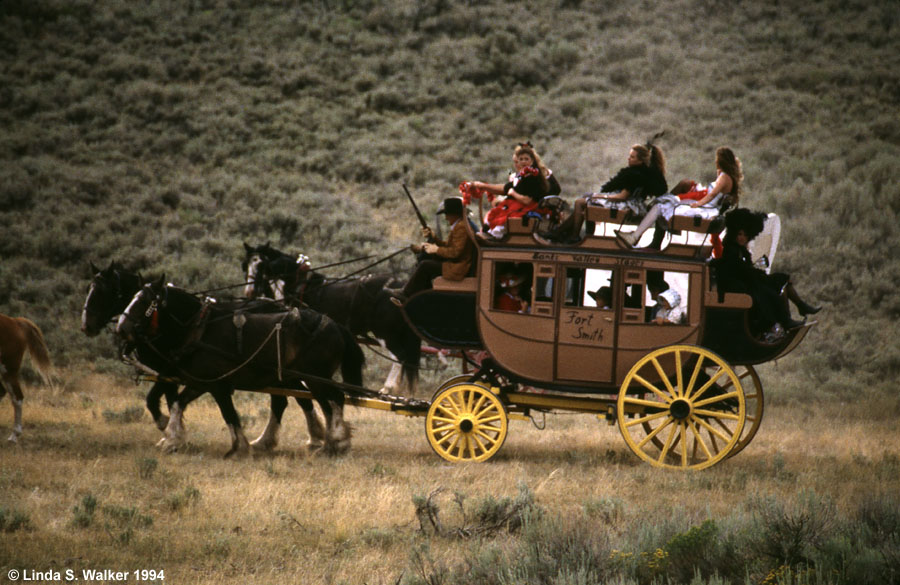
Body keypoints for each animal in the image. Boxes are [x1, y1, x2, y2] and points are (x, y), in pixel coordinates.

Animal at [118, 274, 364, 456]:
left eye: (145, 302)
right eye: (130, 297)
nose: (121, 327)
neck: (200, 329)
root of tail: (336, 325)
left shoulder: (217, 385)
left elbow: (229, 414)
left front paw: (238, 448)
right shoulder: (200, 381)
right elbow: (178, 403)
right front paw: (172, 439)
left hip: (314, 377)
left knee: (333, 400)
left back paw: (334, 442)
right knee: (323, 404)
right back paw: (327, 442)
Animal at [244, 240, 424, 394]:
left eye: (261, 264)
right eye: (245, 266)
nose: (249, 292)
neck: (298, 286)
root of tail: (402, 290)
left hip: (384, 333)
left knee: (399, 356)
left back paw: (388, 388)